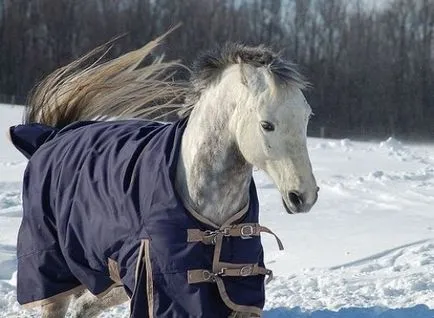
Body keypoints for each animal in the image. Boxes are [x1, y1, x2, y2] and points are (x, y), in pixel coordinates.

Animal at [8, 31, 318, 316]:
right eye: (267, 124)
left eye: (306, 119)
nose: (304, 196)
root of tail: (53, 136)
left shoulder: (238, 293)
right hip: (53, 272)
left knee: (83, 306)